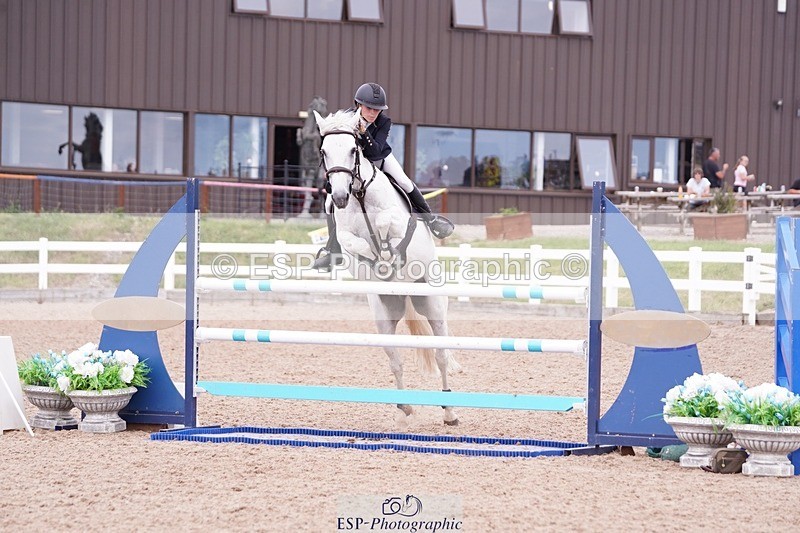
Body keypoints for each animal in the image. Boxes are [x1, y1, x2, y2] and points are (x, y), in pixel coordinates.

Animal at [314, 108, 460, 426]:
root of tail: (405, 295)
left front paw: (386, 252)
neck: (359, 195)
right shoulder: (345, 237)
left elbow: (384, 223)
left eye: (354, 149)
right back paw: (404, 410)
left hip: (432, 304)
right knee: (396, 360)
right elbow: (351, 242)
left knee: (441, 354)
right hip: (384, 314)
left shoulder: (398, 223)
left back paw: (450, 412)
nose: (339, 197)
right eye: (323, 151)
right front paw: (377, 258)